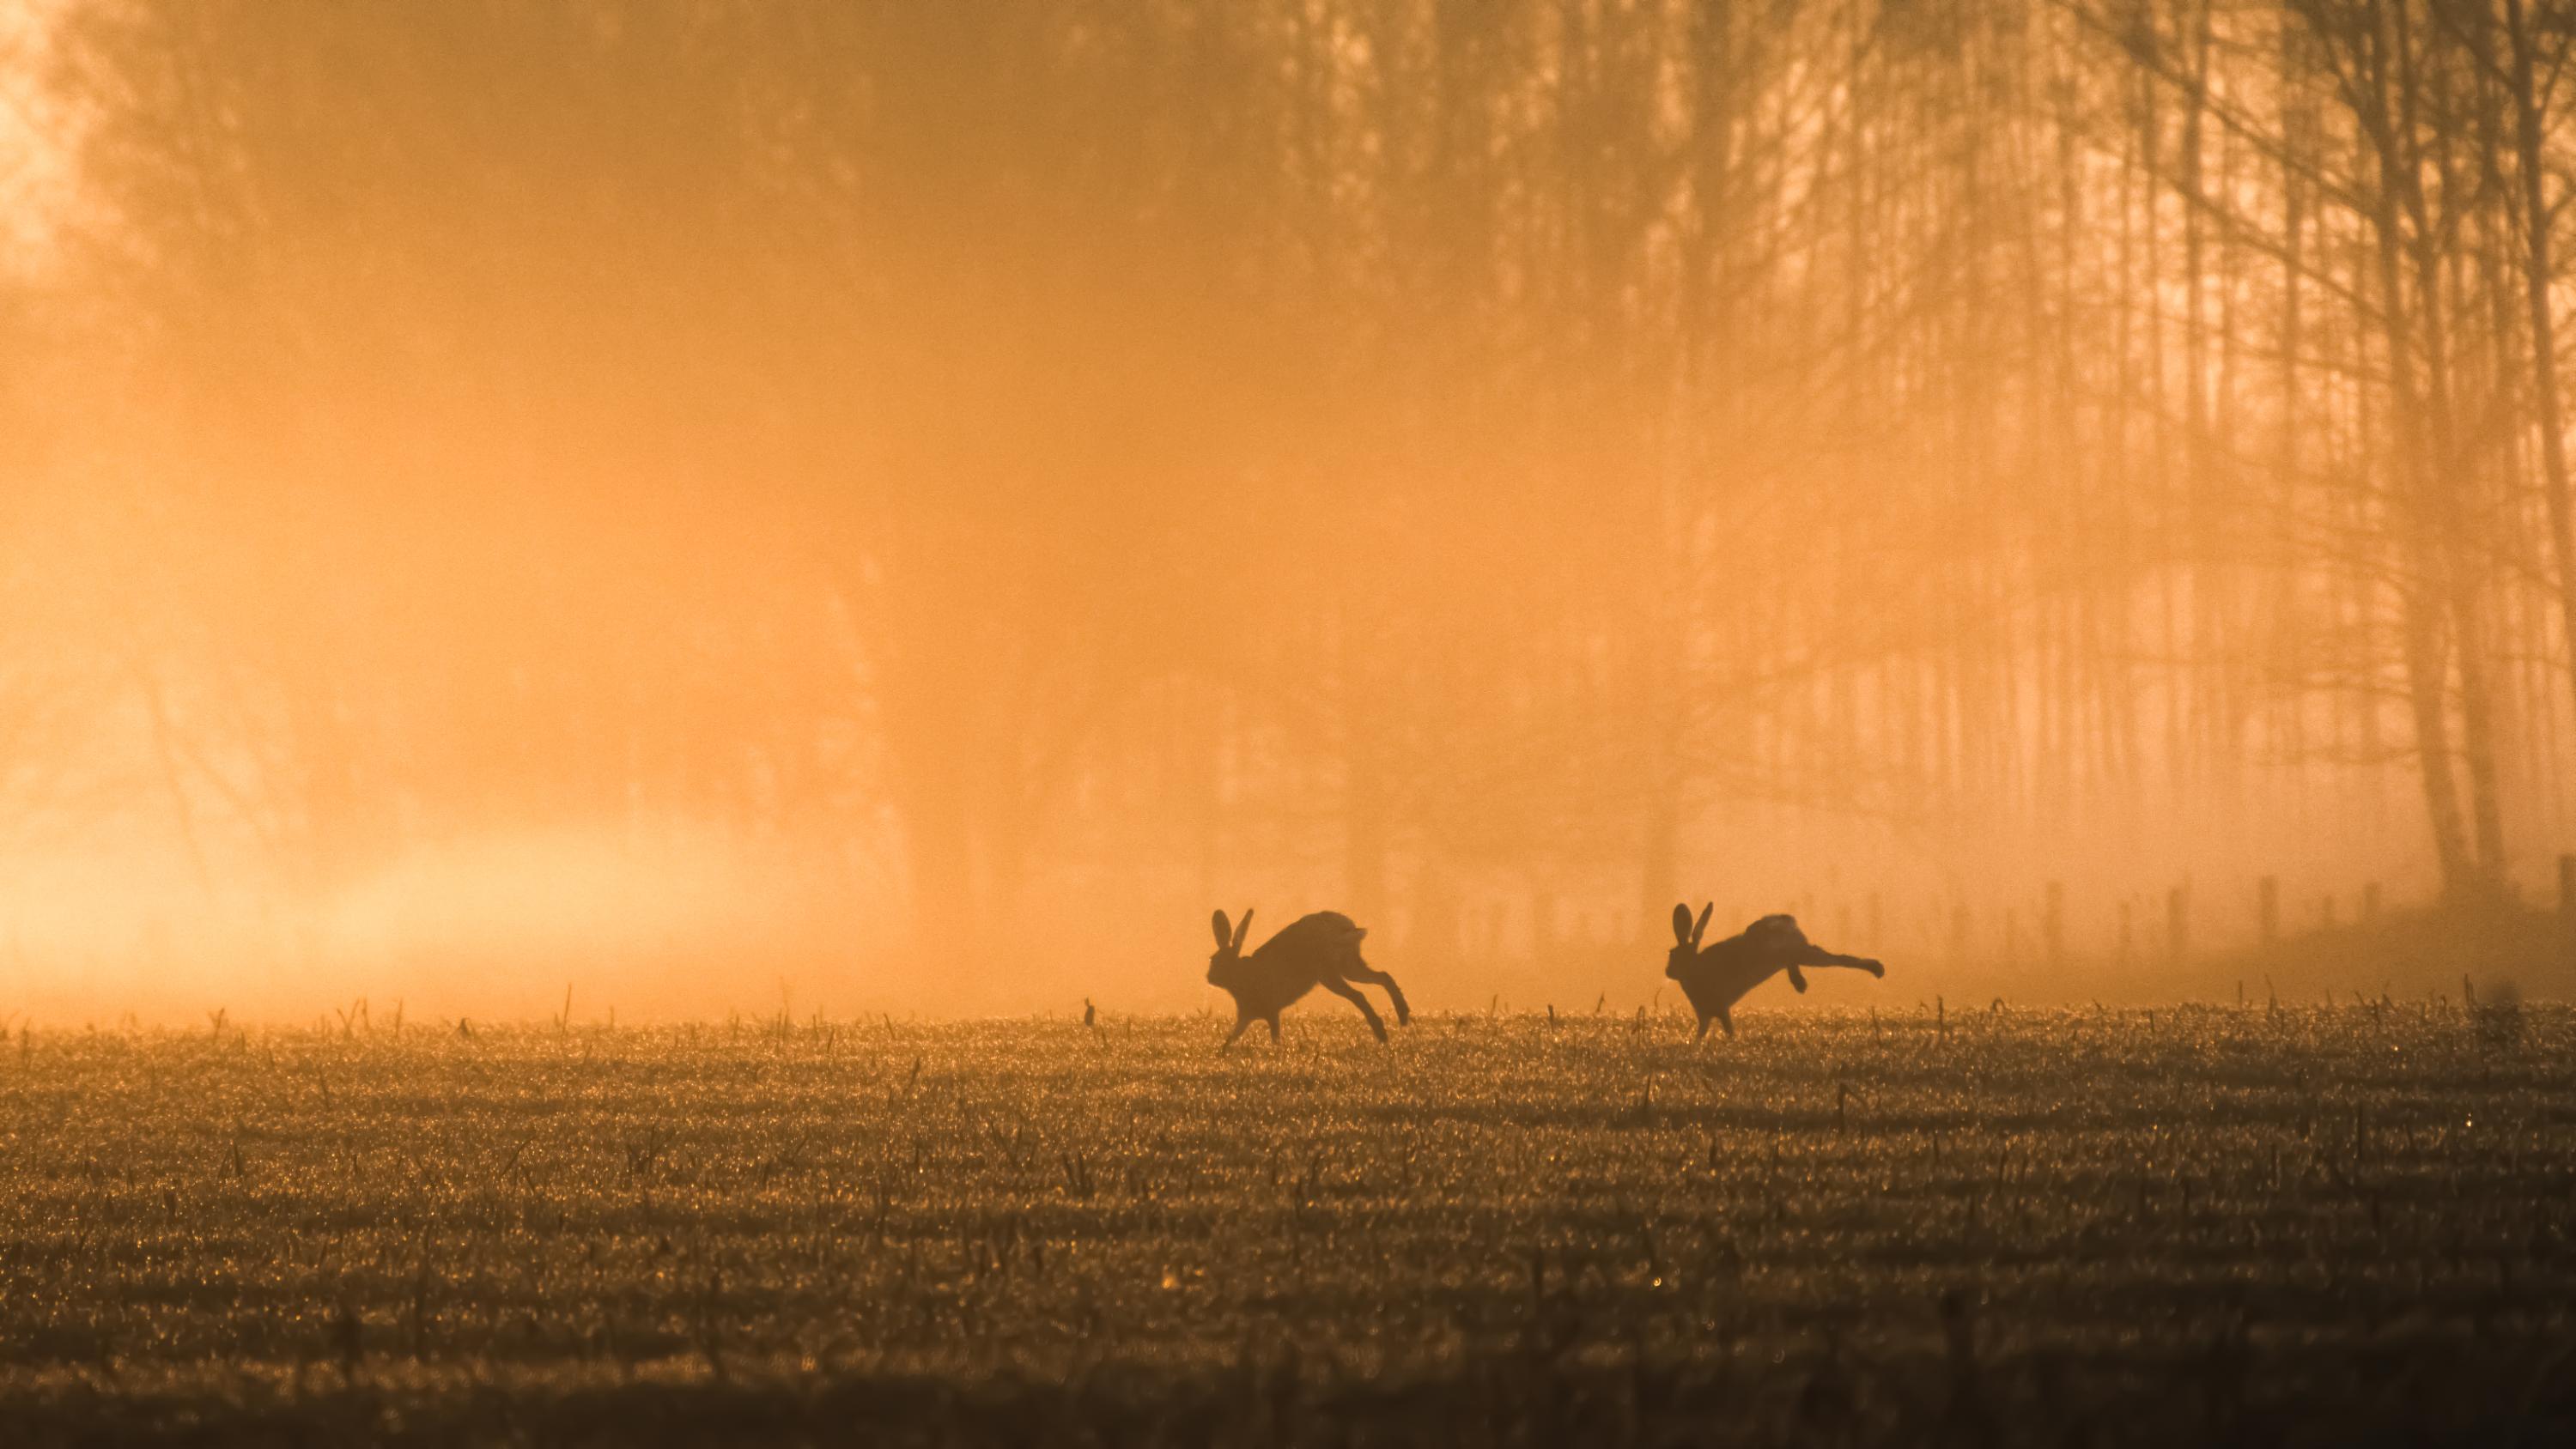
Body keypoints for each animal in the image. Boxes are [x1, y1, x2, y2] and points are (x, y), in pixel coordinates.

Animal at [1206, 908, 1410, 1049]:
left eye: (1217, 962)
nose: (1209, 978)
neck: (1242, 974)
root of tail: (1344, 928)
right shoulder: (1246, 1016)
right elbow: (1233, 1036)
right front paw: (1222, 1052)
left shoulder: (1271, 1012)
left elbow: (1275, 1034)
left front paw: (1277, 1050)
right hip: (1349, 965)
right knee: (1383, 976)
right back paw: (1402, 1017)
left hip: (1327, 973)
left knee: (1358, 995)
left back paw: (1382, 1032)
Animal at [1665, 902, 1884, 1040]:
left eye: (1674, 956)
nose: (1668, 972)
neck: (1695, 968)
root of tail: (1786, 920)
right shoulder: (1706, 1015)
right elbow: (1701, 1033)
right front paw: (1695, 1046)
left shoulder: (1720, 1008)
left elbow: (1728, 1030)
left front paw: (1730, 1042)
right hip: (1787, 954)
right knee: (1796, 960)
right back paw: (1800, 983)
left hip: (1795, 953)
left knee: (1838, 959)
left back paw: (1877, 969)